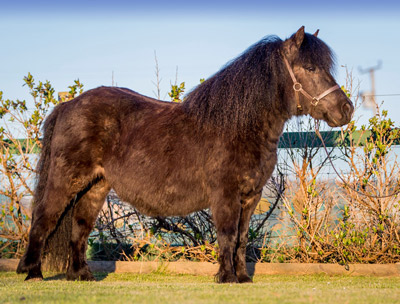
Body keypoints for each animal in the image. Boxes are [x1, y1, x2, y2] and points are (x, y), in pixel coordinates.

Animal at [16, 26, 354, 282]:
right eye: (309, 68)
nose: (346, 109)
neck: (237, 125)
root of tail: (68, 104)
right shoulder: (225, 195)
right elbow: (227, 235)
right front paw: (227, 278)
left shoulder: (250, 197)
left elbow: (242, 238)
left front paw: (243, 278)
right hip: (65, 180)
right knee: (43, 219)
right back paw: (32, 272)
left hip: (95, 187)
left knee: (79, 227)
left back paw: (81, 275)